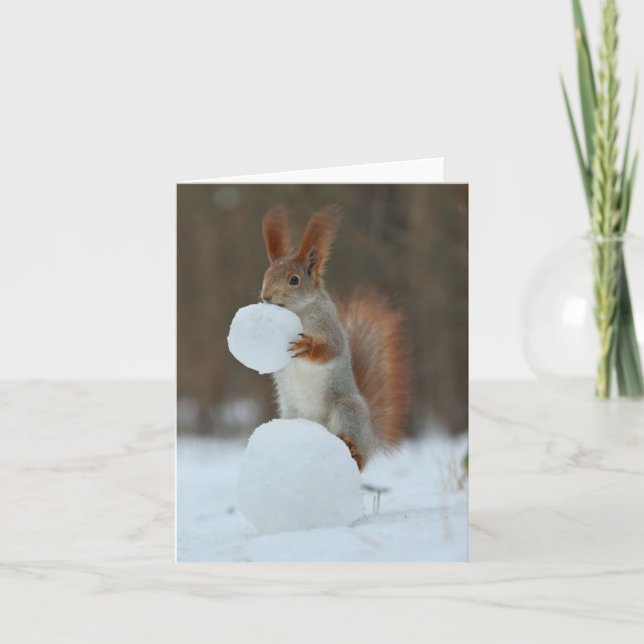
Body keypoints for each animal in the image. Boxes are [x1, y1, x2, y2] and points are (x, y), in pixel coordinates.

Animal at [260, 205, 411, 470]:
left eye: (294, 280)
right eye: (267, 273)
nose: (265, 297)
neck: (299, 311)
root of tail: (372, 437)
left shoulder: (328, 327)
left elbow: (330, 349)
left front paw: (306, 346)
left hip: (347, 410)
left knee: (358, 455)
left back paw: (354, 450)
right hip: (291, 413)